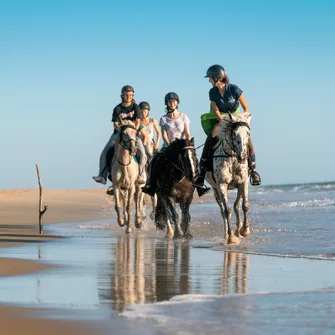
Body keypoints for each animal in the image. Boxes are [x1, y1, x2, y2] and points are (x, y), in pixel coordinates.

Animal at [207, 113, 252, 244]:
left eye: (248, 133)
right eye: (234, 134)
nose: (242, 156)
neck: (232, 158)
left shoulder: (243, 182)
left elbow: (245, 205)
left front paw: (244, 230)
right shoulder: (222, 184)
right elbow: (227, 211)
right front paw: (231, 238)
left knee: (237, 205)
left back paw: (238, 230)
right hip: (216, 190)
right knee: (223, 211)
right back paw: (227, 235)